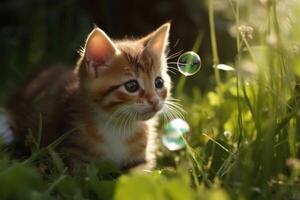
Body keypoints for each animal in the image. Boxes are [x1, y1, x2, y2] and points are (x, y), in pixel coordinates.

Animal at [5, 23, 178, 170]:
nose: (155, 101)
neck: (118, 126)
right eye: (131, 86)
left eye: (159, 82)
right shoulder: (73, 153)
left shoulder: (140, 161)